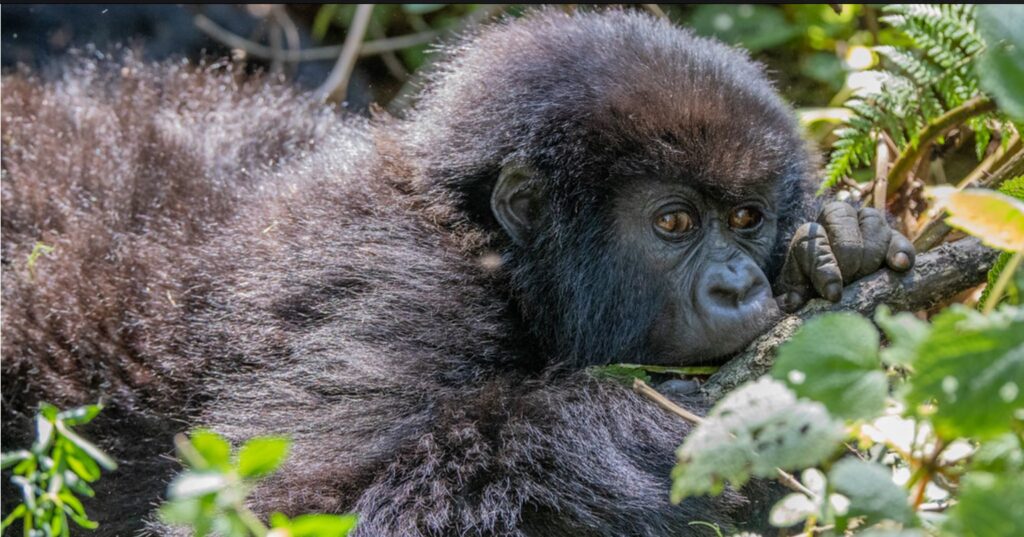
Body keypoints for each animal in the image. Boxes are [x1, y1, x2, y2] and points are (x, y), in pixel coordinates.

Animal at [0, 5, 913, 537]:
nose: (740, 287)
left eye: (748, 218)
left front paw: (836, 246)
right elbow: (303, 505)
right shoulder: (409, 295)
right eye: (675, 222)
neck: (493, 253)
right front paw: (701, 420)